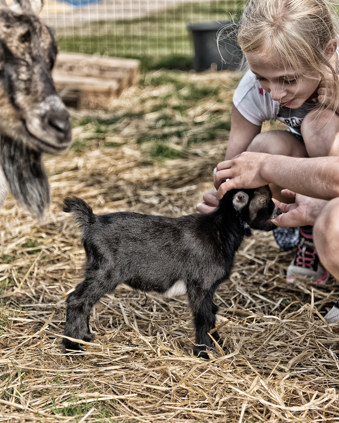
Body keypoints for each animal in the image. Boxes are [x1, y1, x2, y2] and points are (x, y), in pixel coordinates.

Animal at [62, 187, 280, 360]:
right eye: (264, 200)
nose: (278, 209)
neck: (221, 228)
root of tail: (92, 221)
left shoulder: (209, 289)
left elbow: (212, 313)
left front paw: (217, 344)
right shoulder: (200, 285)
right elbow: (203, 316)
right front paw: (203, 353)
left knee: (85, 302)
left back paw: (86, 337)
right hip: (105, 271)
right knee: (77, 300)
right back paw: (74, 346)